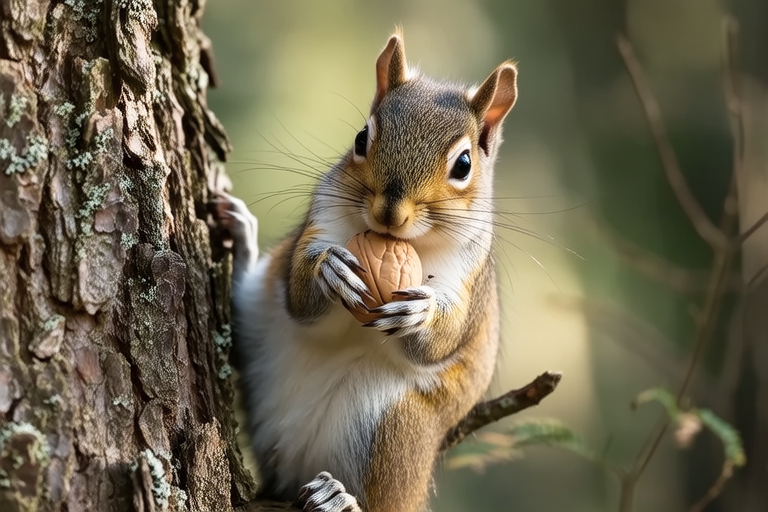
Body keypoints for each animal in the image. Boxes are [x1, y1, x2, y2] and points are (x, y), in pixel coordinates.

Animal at [214, 31, 517, 512]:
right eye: (361, 138)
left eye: (464, 165)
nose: (389, 213)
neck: (406, 244)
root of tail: (291, 472)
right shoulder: (322, 219)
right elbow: (298, 295)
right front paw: (329, 270)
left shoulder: (470, 279)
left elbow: (445, 339)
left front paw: (421, 316)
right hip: (255, 321)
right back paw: (241, 236)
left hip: (396, 431)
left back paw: (339, 499)